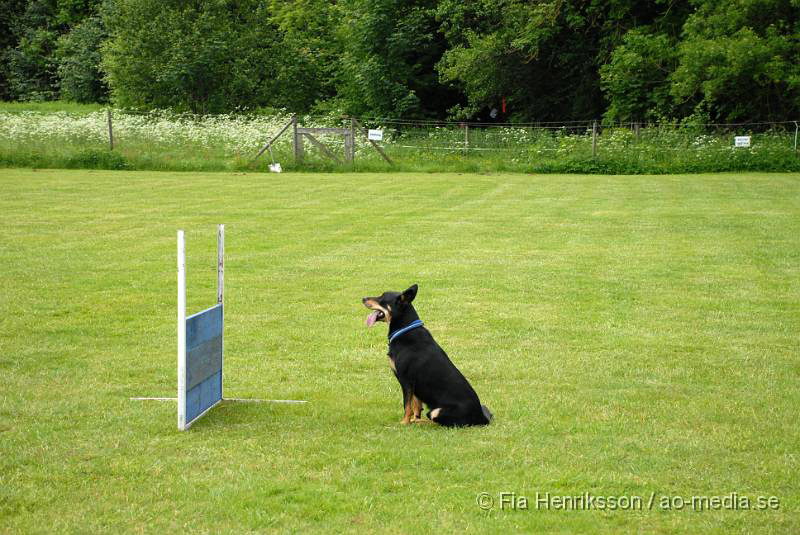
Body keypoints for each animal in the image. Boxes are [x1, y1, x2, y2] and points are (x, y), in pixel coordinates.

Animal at [360, 284, 488, 428]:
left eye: (382, 297)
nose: (363, 298)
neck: (404, 329)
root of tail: (482, 418)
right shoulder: (414, 384)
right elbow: (416, 404)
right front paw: (413, 419)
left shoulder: (406, 380)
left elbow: (407, 405)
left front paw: (404, 423)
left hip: (437, 411)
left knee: (436, 422)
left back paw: (421, 422)